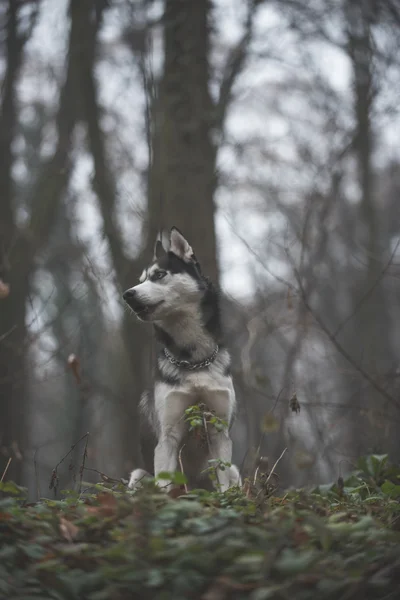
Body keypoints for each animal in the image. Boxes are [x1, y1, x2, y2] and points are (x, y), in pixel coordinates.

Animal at [122, 227, 241, 490]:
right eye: (141, 279)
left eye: (159, 275)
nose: (127, 294)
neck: (194, 361)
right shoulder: (168, 436)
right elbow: (165, 485)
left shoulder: (220, 431)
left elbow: (223, 483)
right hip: (138, 476)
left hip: (235, 471)